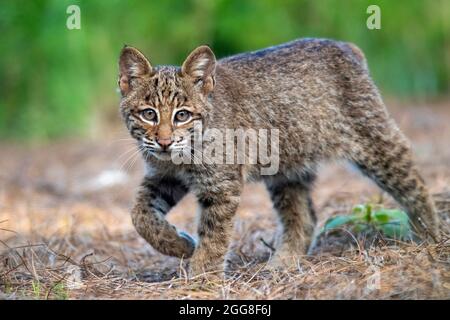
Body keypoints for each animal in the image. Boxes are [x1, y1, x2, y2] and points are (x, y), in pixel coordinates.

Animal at [118, 38, 440, 276]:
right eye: (149, 114)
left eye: (182, 115)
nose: (164, 142)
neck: (180, 157)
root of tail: (343, 45)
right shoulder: (163, 175)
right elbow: (139, 215)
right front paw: (180, 246)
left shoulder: (220, 185)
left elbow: (214, 235)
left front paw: (201, 278)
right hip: (287, 168)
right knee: (305, 217)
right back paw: (283, 262)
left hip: (373, 141)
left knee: (412, 179)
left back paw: (431, 236)